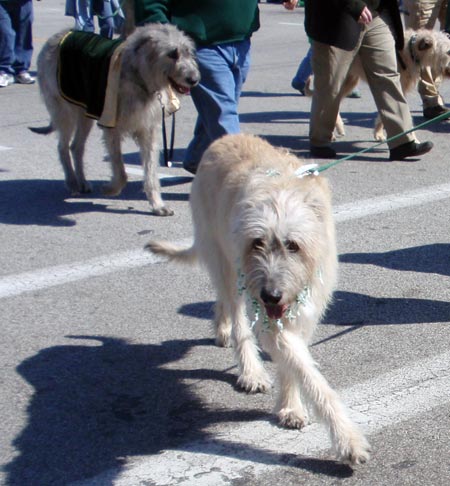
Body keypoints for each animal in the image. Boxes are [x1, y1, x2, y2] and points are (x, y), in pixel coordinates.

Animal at [33, 23, 199, 215]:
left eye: (188, 52)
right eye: (172, 54)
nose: (195, 79)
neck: (139, 76)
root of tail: (58, 35)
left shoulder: (148, 130)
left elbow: (150, 169)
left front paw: (158, 205)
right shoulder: (111, 124)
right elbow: (120, 169)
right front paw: (111, 189)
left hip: (85, 112)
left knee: (76, 146)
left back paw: (82, 182)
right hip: (64, 109)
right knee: (63, 146)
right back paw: (73, 182)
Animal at [146, 134, 370, 468]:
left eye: (293, 245)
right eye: (257, 243)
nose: (271, 295)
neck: (281, 193)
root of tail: (224, 138)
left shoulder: (305, 305)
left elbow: (294, 363)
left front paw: (290, 406)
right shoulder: (266, 306)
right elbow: (308, 374)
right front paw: (347, 440)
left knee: (223, 300)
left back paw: (222, 328)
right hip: (226, 259)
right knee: (235, 310)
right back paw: (249, 368)